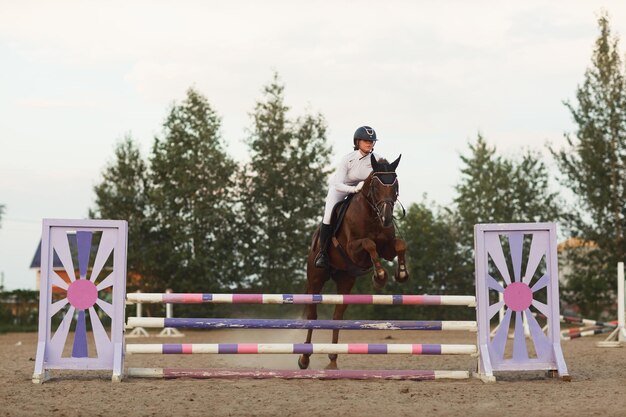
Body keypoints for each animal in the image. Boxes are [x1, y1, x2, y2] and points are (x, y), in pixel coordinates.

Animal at [298, 153, 410, 368]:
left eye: (396, 185)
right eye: (375, 186)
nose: (387, 218)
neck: (372, 214)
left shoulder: (387, 249)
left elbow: (400, 244)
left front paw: (401, 273)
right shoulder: (353, 250)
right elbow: (369, 244)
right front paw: (380, 276)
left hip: (345, 280)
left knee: (337, 316)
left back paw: (333, 360)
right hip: (316, 278)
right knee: (312, 315)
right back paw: (304, 358)